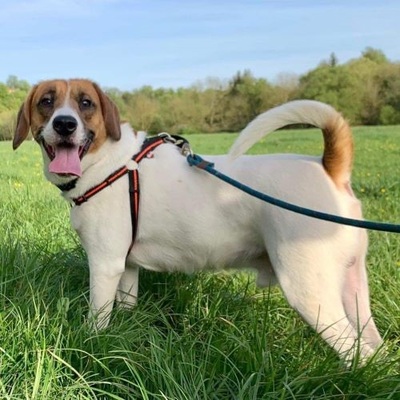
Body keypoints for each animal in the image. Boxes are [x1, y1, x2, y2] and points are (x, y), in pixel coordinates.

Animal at [13, 78, 382, 362]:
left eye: (86, 103)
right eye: (47, 101)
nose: (64, 124)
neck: (110, 162)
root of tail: (329, 168)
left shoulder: (104, 266)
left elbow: (97, 319)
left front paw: (90, 347)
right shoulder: (126, 267)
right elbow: (126, 305)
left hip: (309, 290)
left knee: (358, 352)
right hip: (351, 287)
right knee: (375, 348)